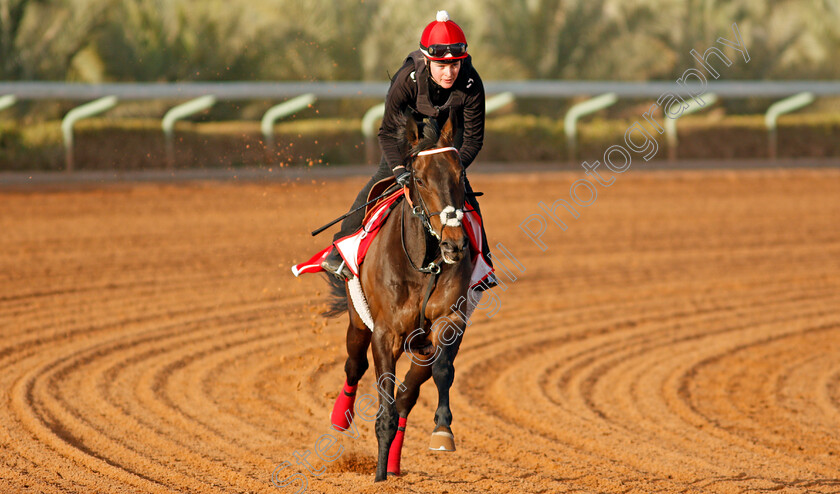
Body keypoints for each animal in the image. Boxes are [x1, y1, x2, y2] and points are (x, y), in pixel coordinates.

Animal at [324, 113, 480, 482]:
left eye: (459, 175)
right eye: (419, 180)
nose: (455, 244)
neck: (424, 261)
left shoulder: (449, 322)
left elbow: (442, 372)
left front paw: (443, 432)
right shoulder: (385, 333)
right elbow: (384, 409)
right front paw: (378, 479)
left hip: (421, 345)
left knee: (408, 394)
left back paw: (395, 463)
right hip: (358, 321)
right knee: (354, 365)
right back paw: (340, 418)